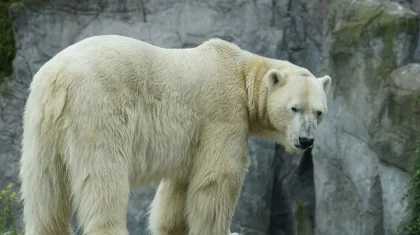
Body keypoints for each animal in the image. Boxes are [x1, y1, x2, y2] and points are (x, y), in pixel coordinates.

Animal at [19, 35, 332, 235]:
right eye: (294, 108)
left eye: (319, 112)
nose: (306, 141)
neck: (241, 73)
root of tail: (60, 77)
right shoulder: (223, 114)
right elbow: (218, 180)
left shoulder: (193, 137)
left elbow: (178, 190)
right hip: (98, 110)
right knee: (103, 177)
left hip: (42, 122)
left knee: (45, 187)